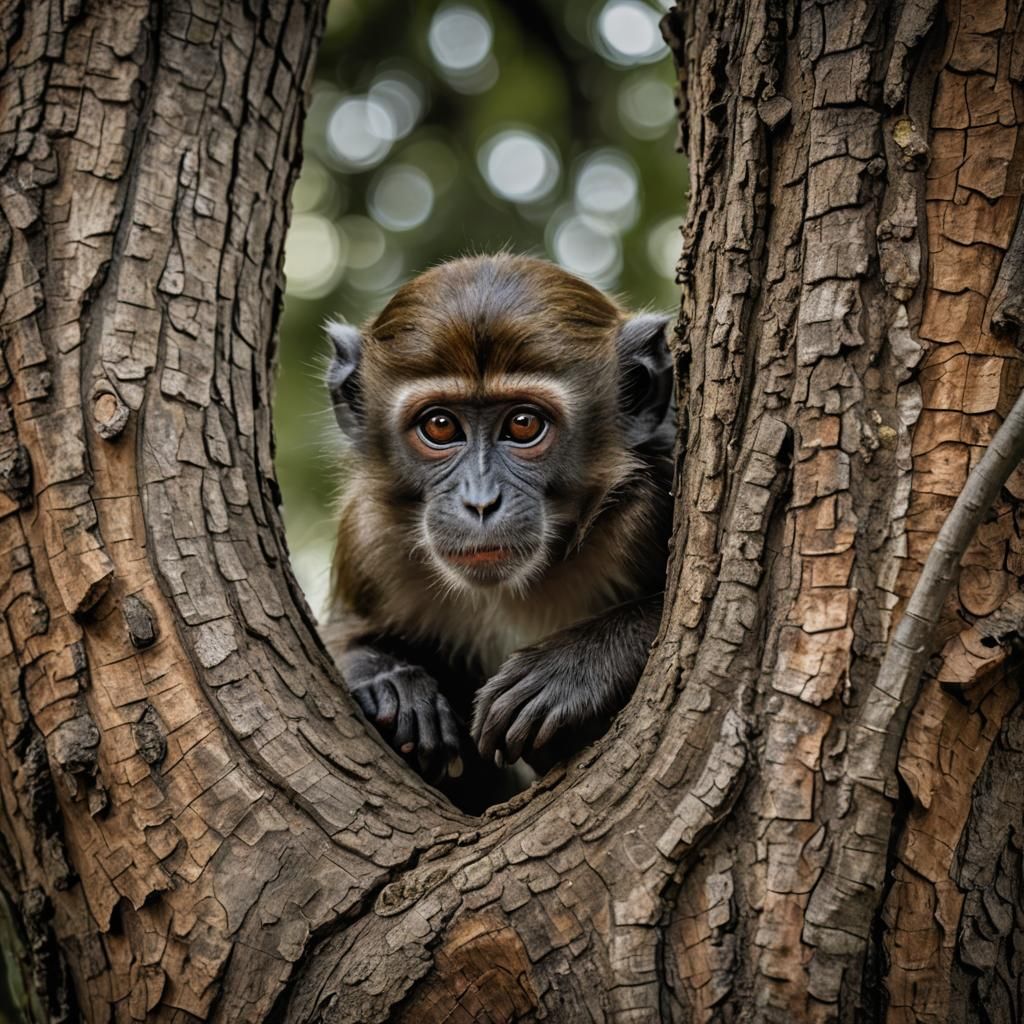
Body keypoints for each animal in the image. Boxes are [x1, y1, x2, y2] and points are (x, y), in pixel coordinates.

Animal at [322, 254, 674, 812]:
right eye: (440, 426)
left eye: (524, 424)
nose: (481, 502)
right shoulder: (369, 537)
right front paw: (385, 680)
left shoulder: (651, 499)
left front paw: (571, 670)